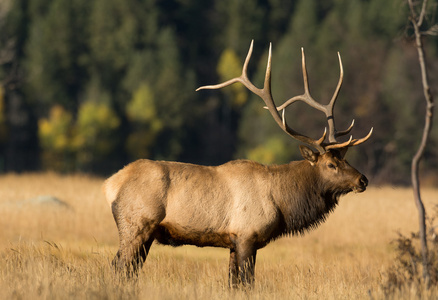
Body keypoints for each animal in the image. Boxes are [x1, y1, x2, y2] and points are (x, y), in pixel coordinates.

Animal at [103, 39, 372, 286]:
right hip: (136, 225)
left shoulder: (233, 242)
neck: (282, 202)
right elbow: (246, 283)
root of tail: (111, 184)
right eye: (330, 165)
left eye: (345, 158)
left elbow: (233, 283)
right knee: (120, 267)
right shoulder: (246, 236)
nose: (363, 180)